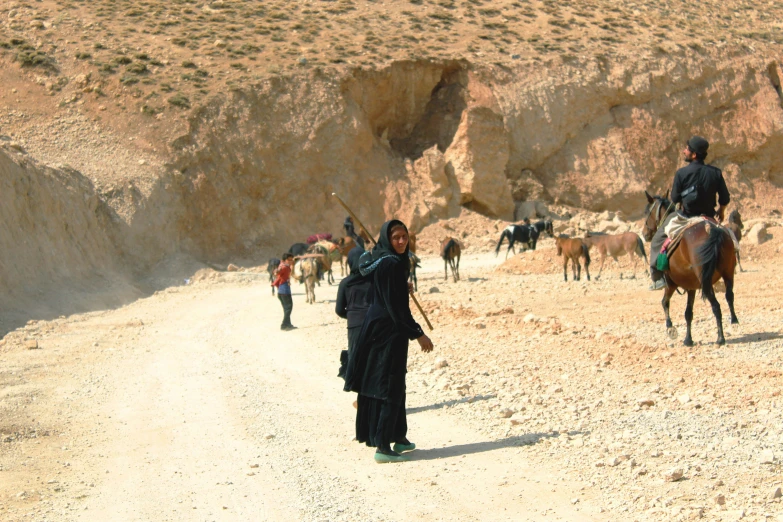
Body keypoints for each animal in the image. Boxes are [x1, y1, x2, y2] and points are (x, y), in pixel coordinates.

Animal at [648, 191, 740, 346]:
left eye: (648, 212)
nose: (645, 233)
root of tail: (712, 230)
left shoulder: (672, 284)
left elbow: (665, 302)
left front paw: (671, 329)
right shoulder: (691, 285)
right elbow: (688, 313)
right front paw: (688, 339)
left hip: (704, 281)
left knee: (716, 305)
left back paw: (720, 338)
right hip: (728, 272)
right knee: (729, 295)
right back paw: (734, 322)